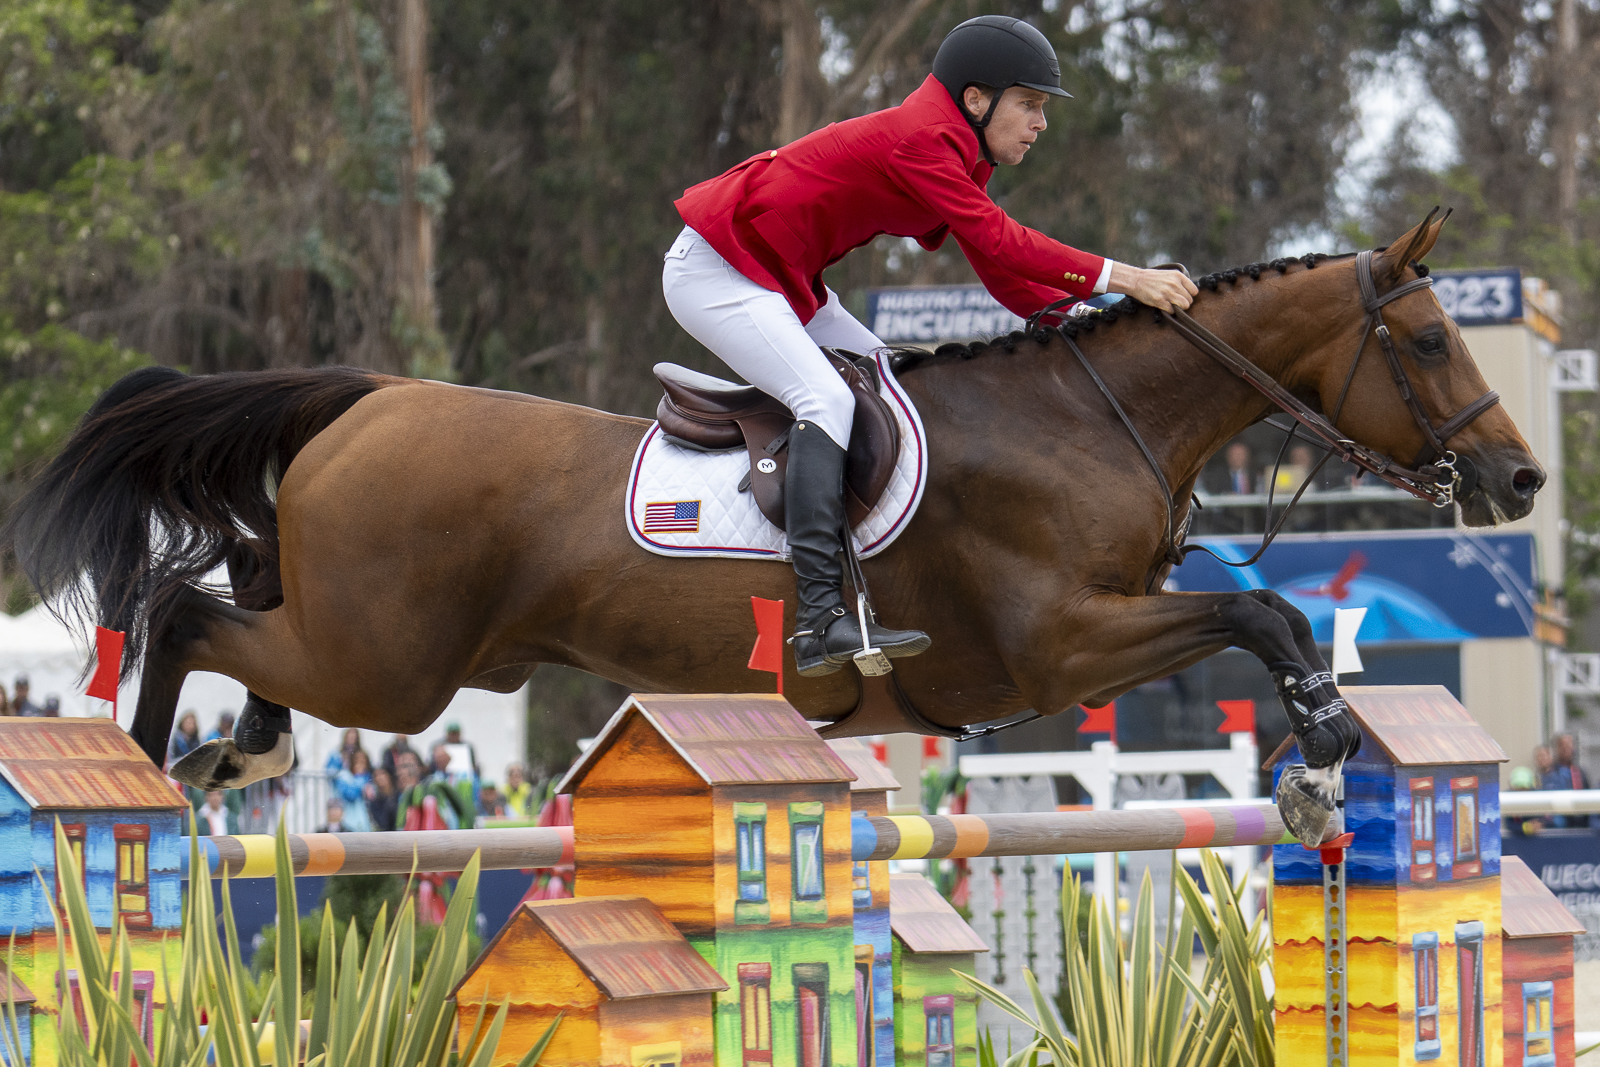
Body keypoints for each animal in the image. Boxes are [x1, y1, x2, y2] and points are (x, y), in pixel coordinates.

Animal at [6, 212, 1542, 838]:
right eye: (1423, 337)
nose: (1523, 483)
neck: (1085, 414)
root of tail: (368, 399)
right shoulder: (1057, 646)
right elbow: (1259, 609)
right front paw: (1320, 755)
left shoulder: (1067, 652)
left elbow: (1257, 611)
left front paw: (1317, 761)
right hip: (390, 664)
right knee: (190, 612)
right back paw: (149, 764)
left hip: (389, 646)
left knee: (239, 590)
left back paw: (228, 750)